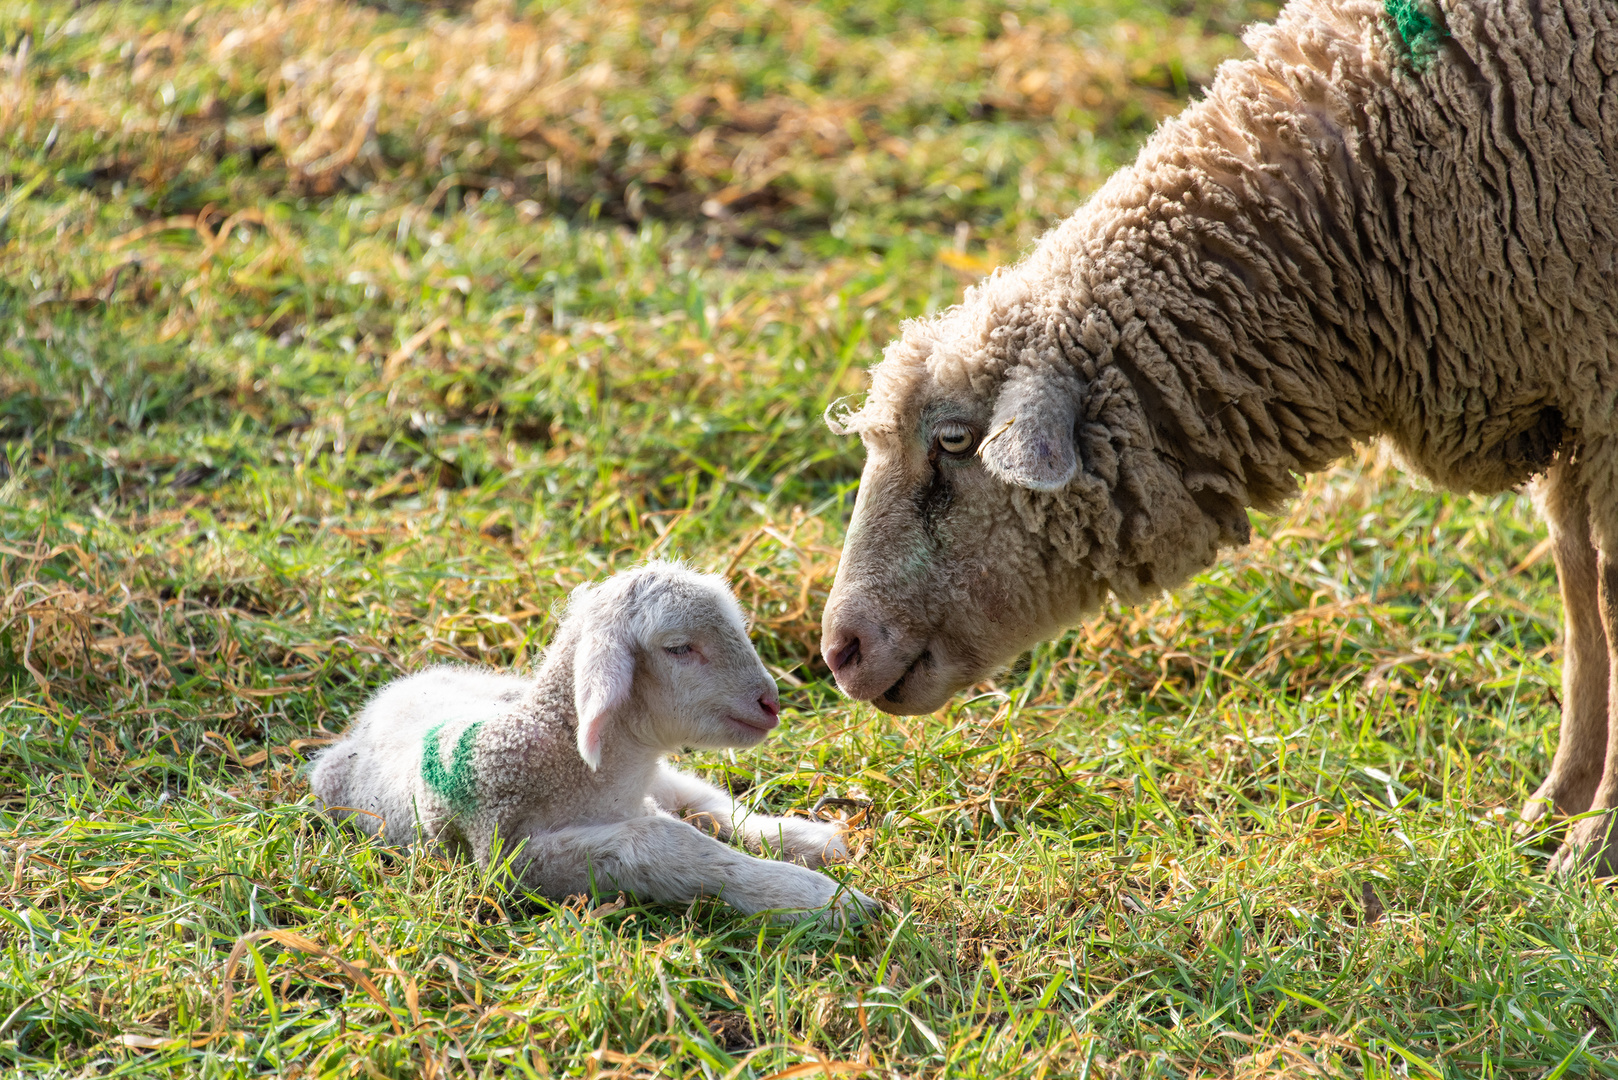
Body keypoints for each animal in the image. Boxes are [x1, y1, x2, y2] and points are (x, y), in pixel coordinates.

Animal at [309, 563, 880, 926]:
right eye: (679, 648)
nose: (771, 702)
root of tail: (385, 699)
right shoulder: (513, 861)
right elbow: (665, 843)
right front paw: (821, 900)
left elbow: (706, 811)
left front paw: (805, 851)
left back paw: (809, 838)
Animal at [821, 0, 1618, 867]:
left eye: (953, 443)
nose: (840, 650)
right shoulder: (1568, 377)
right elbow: (1578, 590)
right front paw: (1552, 811)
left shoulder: (1601, 373)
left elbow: (1606, 598)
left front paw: (1596, 842)